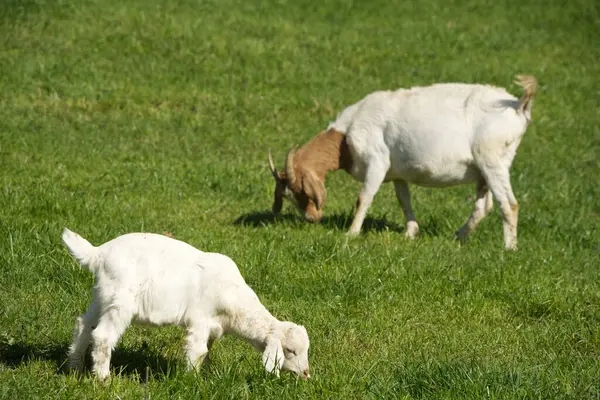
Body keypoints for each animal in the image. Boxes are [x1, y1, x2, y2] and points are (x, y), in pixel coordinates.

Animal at [62, 228, 310, 382]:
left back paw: (75, 367)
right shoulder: (200, 320)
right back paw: (103, 378)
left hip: (103, 297)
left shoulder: (213, 326)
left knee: (83, 325)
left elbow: (207, 351)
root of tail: (98, 253)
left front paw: (207, 373)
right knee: (103, 336)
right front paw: (193, 379)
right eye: (290, 350)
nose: (306, 373)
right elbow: (197, 351)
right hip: (120, 301)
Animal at [270, 74, 536, 248]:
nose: (311, 218)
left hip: (492, 160)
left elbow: (363, 198)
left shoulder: (377, 161)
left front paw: (351, 233)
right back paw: (458, 238)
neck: (347, 133)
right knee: (483, 206)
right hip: (484, 169)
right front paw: (410, 233)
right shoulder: (397, 173)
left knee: (509, 204)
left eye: (301, 190)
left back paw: (508, 248)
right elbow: (403, 200)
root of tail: (518, 105)